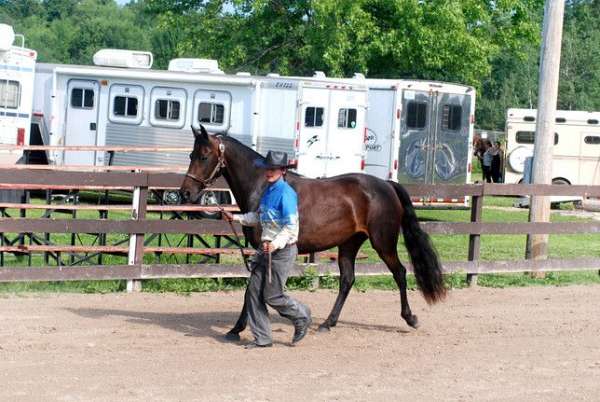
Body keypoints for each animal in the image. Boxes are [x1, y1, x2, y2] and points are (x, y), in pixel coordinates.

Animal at [180, 125, 448, 336]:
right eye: (191, 154)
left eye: (204, 156)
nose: (185, 193)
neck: (263, 186)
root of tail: (387, 184)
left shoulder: (264, 249)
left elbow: (252, 290)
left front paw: (238, 328)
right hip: (349, 244)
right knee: (347, 280)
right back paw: (328, 323)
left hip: (383, 242)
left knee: (400, 273)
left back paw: (410, 318)